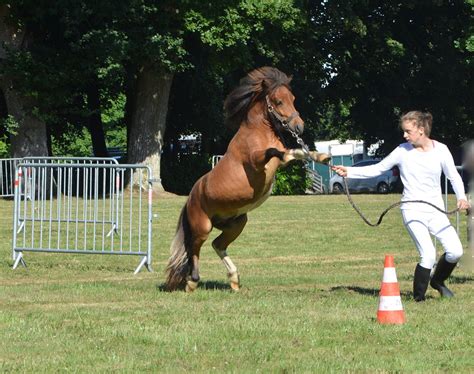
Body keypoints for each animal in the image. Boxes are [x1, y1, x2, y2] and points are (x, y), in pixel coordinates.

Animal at [166, 65, 330, 290]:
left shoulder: (279, 164)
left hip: (238, 222)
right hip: (203, 226)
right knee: (194, 248)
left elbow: (296, 152)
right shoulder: (256, 161)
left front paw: (320, 156)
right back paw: (192, 281)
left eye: (293, 98)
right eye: (278, 101)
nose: (299, 127)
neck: (259, 132)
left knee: (217, 244)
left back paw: (234, 279)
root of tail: (190, 198)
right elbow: (276, 152)